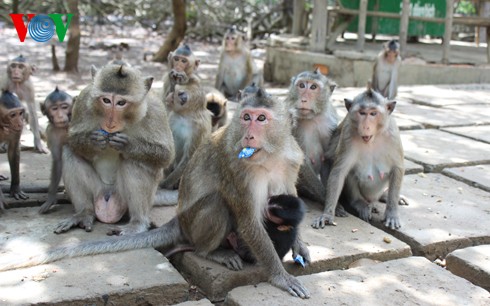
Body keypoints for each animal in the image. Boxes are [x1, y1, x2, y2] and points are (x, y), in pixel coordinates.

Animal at [0, 89, 310, 300]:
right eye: (246, 117)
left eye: (261, 118)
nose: (248, 134)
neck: (269, 154)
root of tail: (179, 220)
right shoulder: (237, 166)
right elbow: (248, 220)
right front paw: (280, 277)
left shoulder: (291, 159)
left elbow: (289, 197)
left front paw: (300, 247)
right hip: (192, 224)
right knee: (216, 204)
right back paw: (213, 252)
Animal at [53, 64, 175, 235]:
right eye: (106, 100)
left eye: (121, 103)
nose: (110, 122)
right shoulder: (84, 99)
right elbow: (73, 139)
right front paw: (93, 142)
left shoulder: (156, 110)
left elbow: (166, 154)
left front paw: (127, 145)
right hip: (98, 189)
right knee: (70, 152)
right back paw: (84, 213)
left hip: (124, 198)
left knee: (133, 161)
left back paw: (137, 223)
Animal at [312, 86, 404, 230]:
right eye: (362, 113)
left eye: (373, 113)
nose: (366, 126)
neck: (372, 139)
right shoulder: (348, 134)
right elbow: (339, 171)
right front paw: (327, 214)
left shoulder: (393, 135)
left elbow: (397, 169)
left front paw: (392, 213)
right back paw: (360, 203)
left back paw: (382, 197)